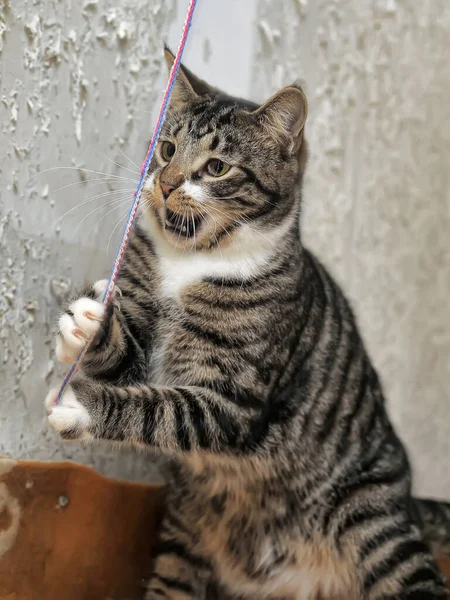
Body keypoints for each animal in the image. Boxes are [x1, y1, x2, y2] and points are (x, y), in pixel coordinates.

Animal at [46, 48, 450, 600]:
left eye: (216, 167)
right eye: (167, 149)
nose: (166, 183)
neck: (189, 262)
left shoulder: (233, 400)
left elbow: (159, 408)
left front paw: (80, 406)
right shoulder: (150, 342)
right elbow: (131, 363)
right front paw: (89, 326)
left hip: (377, 528)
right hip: (183, 540)